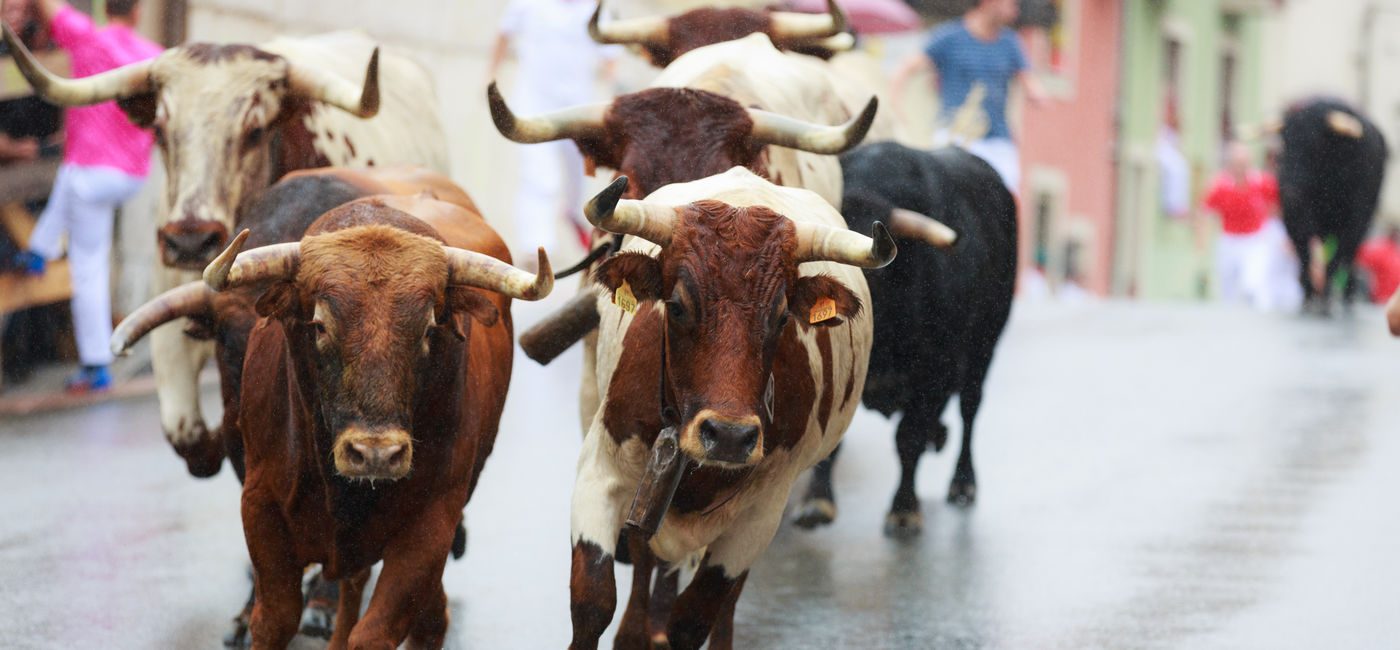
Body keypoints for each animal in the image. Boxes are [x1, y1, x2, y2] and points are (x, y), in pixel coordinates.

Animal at [198, 195, 550, 650]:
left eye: (429, 328)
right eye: (319, 325)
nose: (376, 454)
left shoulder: (433, 523)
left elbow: (376, 631)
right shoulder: (259, 504)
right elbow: (274, 619)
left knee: (424, 613)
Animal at [568, 167, 892, 650]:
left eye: (781, 317)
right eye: (677, 306)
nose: (729, 436)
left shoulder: (760, 515)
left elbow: (693, 618)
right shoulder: (600, 472)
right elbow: (592, 602)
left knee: (725, 603)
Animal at [792, 142, 1016, 536]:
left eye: (872, 273)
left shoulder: (933, 375)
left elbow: (908, 438)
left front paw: (904, 508)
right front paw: (817, 503)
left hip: (984, 348)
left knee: (970, 408)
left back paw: (963, 483)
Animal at [1276, 97, 1388, 314]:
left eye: (1314, 145)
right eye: (1285, 142)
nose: (1290, 191)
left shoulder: (1352, 221)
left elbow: (1337, 256)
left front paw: (1325, 299)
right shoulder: (1294, 220)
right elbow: (1305, 254)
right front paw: (1308, 296)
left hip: (1363, 222)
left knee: (1351, 254)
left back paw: (1346, 297)